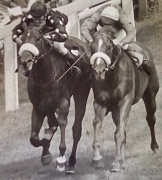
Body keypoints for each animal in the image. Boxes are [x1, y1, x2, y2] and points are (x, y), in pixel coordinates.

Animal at [18, 25, 92, 173]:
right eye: (22, 39)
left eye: (38, 38)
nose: (25, 61)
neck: (44, 77)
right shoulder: (38, 107)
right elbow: (34, 138)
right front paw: (45, 153)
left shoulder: (63, 103)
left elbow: (62, 123)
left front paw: (61, 158)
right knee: (52, 123)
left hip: (82, 92)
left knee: (76, 129)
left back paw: (71, 162)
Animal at [89, 26, 159, 172]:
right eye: (92, 47)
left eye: (108, 47)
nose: (98, 71)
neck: (112, 78)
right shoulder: (100, 103)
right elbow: (97, 124)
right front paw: (97, 158)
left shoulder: (125, 102)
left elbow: (119, 133)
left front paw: (116, 163)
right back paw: (122, 159)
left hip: (150, 96)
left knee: (150, 119)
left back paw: (154, 148)